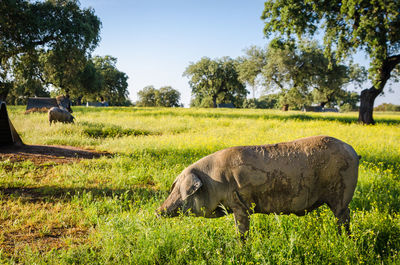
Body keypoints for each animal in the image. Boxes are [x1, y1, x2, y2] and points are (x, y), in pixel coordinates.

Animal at [158, 136, 360, 235]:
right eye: (173, 189)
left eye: (181, 191)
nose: (157, 210)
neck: (214, 182)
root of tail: (352, 150)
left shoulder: (240, 204)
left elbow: (241, 230)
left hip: (342, 195)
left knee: (344, 216)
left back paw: (344, 239)